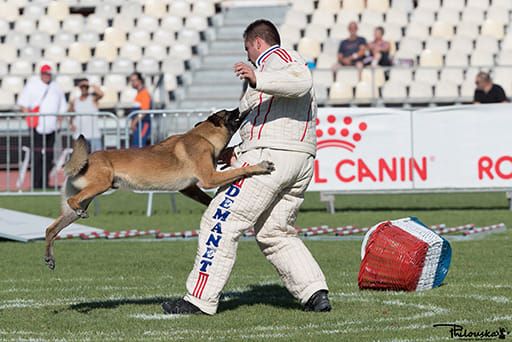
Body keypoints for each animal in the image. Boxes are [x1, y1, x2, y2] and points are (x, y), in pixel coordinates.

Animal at [44, 108, 276, 268]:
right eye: (229, 113)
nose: (241, 107)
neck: (203, 136)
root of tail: (83, 161)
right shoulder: (209, 178)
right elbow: (240, 170)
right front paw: (260, 166)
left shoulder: (190, 188)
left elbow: (207, 199)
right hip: (100, 185)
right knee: (71, 202)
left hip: (83, 200)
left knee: (51, 229)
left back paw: (49, 257)